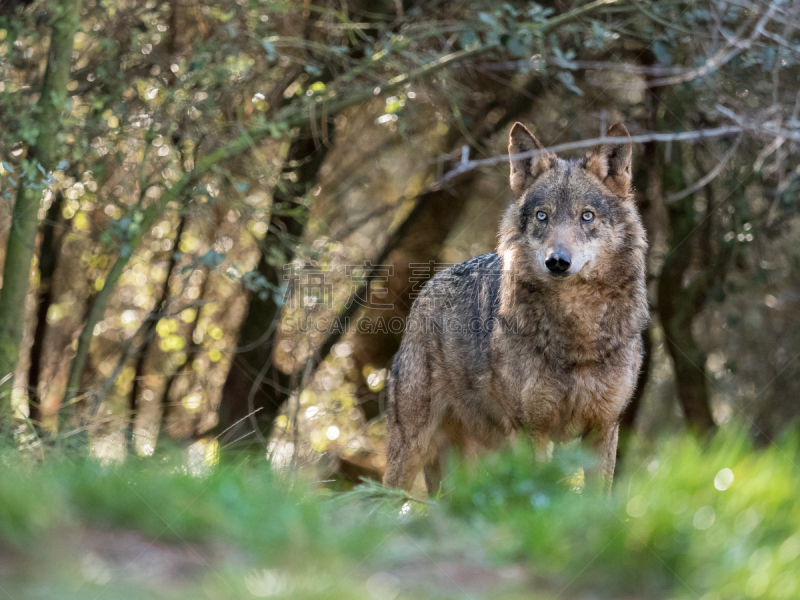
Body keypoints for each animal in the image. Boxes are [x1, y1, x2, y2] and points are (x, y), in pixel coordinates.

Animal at [382, 120, 648, 492]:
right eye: (542, 216)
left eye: (587, 216)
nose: (557, 261)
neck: (576, 336)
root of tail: (429, 285)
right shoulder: (531, 430)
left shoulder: (604, 429)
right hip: (413, 449)